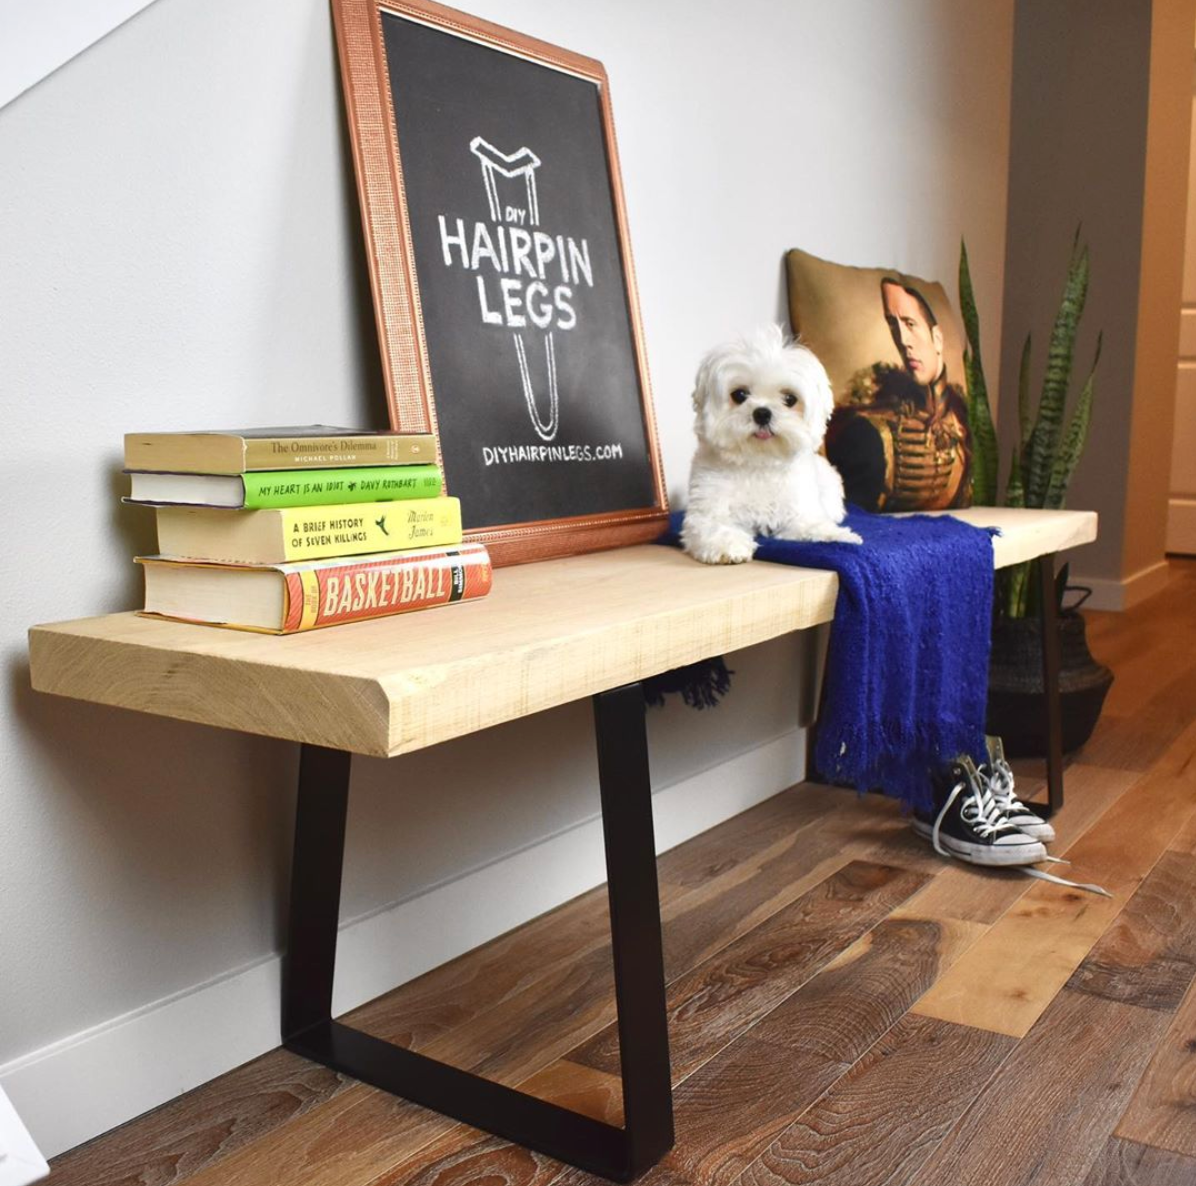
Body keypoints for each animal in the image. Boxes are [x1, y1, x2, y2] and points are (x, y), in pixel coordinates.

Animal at [684, 325, 861, 564]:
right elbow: (714, 527)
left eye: (789, 399)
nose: (762, 413)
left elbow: (811, 523)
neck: (759, 462)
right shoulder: (708, 508)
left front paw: (837, 534)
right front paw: (727, 546)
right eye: (739, 394)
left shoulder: (799, 509)